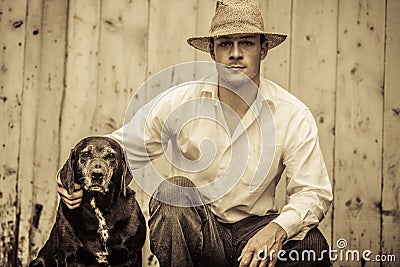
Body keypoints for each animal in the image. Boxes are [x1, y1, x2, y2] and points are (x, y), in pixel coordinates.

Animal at [29, 137, 146, 266]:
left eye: (111, 155)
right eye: (85, 154)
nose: (97, 175)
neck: (99, 208)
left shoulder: (132, 255)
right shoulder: (68, 254)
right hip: (37, 262)